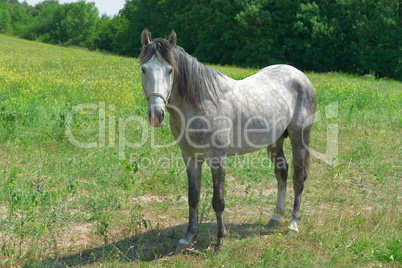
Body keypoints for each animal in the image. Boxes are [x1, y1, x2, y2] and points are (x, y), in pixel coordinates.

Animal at [140, 29, 316, 249]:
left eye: (170, 71)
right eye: (144, 69)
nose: (157, 115)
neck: (200, 103)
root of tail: (300, 76)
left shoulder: (217, 158)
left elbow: (218, 200)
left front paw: (221, 239)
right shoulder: (190, 157)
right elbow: (193, 197)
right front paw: (189, 236)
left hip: (299, 138)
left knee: (298, 178)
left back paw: (293, 223)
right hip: (275, 140)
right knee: (281, 172)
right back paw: (276, 217)